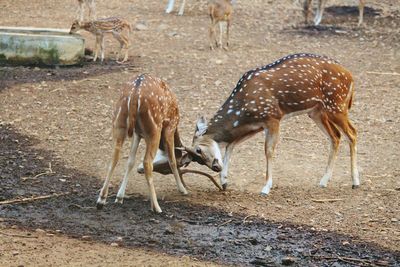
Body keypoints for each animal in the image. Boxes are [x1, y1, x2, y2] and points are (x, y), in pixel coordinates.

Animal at [97, 73, 189, 214]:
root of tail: (135, 94)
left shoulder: (137, 133)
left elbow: (130, 161)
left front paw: (119, 196)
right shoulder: (170, 127)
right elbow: (172, 159)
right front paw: (183, 189)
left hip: (119, 122)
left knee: (114, 157)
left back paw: (101, 200)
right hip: (154, 129)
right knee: (147, 162)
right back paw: (156, 207)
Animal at [184, 54, 360, 196]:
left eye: (198, 150)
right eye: (196, 159)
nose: (215, 167)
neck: (243, 110)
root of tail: (350, 76)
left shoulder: (273, 117)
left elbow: (268, 151)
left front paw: (266, 188)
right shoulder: (255, 126)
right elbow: (230, 145)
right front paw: (224, 182)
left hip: (336, 105)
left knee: (352, 133)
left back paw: (355, 182)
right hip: (317, 111)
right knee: (336, 136)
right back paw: (323, 181)